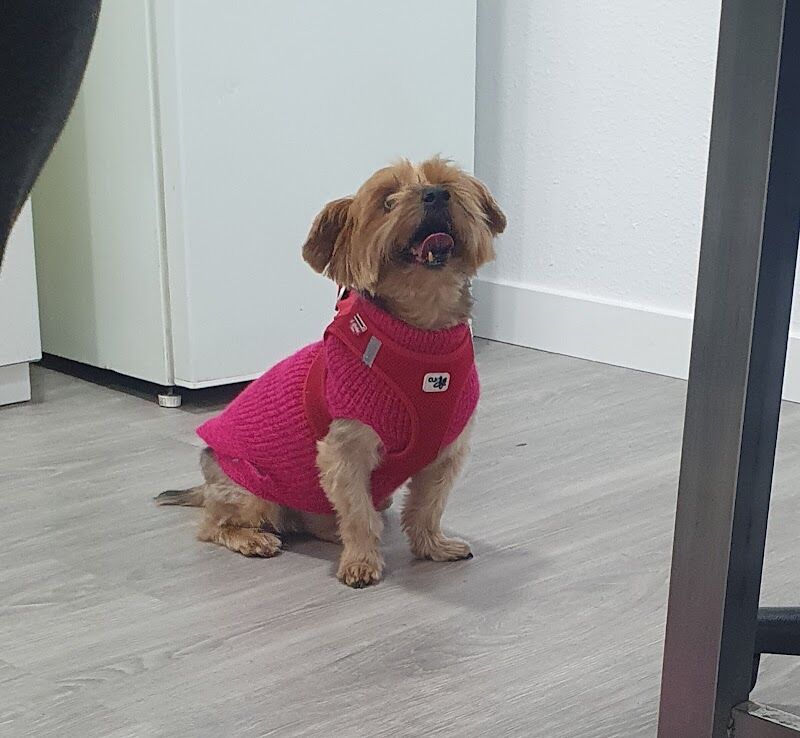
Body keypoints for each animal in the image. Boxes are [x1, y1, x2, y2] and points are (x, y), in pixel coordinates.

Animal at [157, 157, 505, 587]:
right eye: (387, 201)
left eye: (447, 183)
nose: (436, 194)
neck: (422, 335)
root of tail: (205, 482)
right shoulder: (346, 451)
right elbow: (357, 512)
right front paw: (361, 562)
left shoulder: (446, 452)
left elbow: (428, 506)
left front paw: (432, 546)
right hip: (252, 490)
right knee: (214, 525)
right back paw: (253, 539)